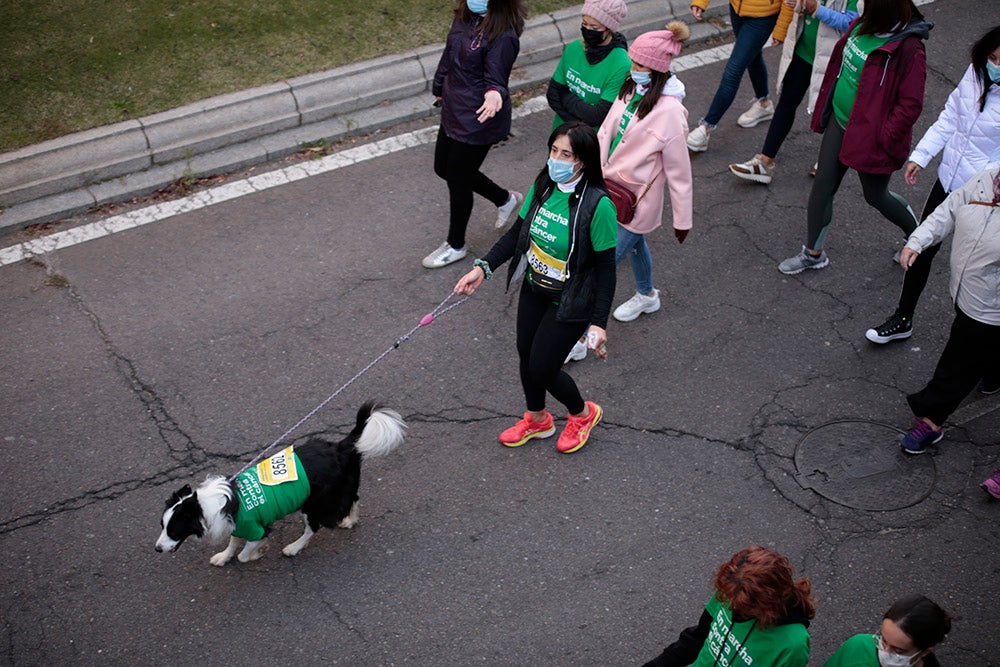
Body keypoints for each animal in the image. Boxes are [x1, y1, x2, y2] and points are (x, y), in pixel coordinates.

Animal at [154, 404, 404, 568]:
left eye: (173, 529)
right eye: (162, 526)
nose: (156, 549)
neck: (206, 505)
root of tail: (340, 447)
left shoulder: (255, 528)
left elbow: (244, 553)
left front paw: (259, 552)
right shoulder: (237, 524)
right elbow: (233, 542)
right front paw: (224, 556)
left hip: (314, 504)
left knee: (314, 527)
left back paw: (294, 547)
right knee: (354, 498)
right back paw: (351, 520)